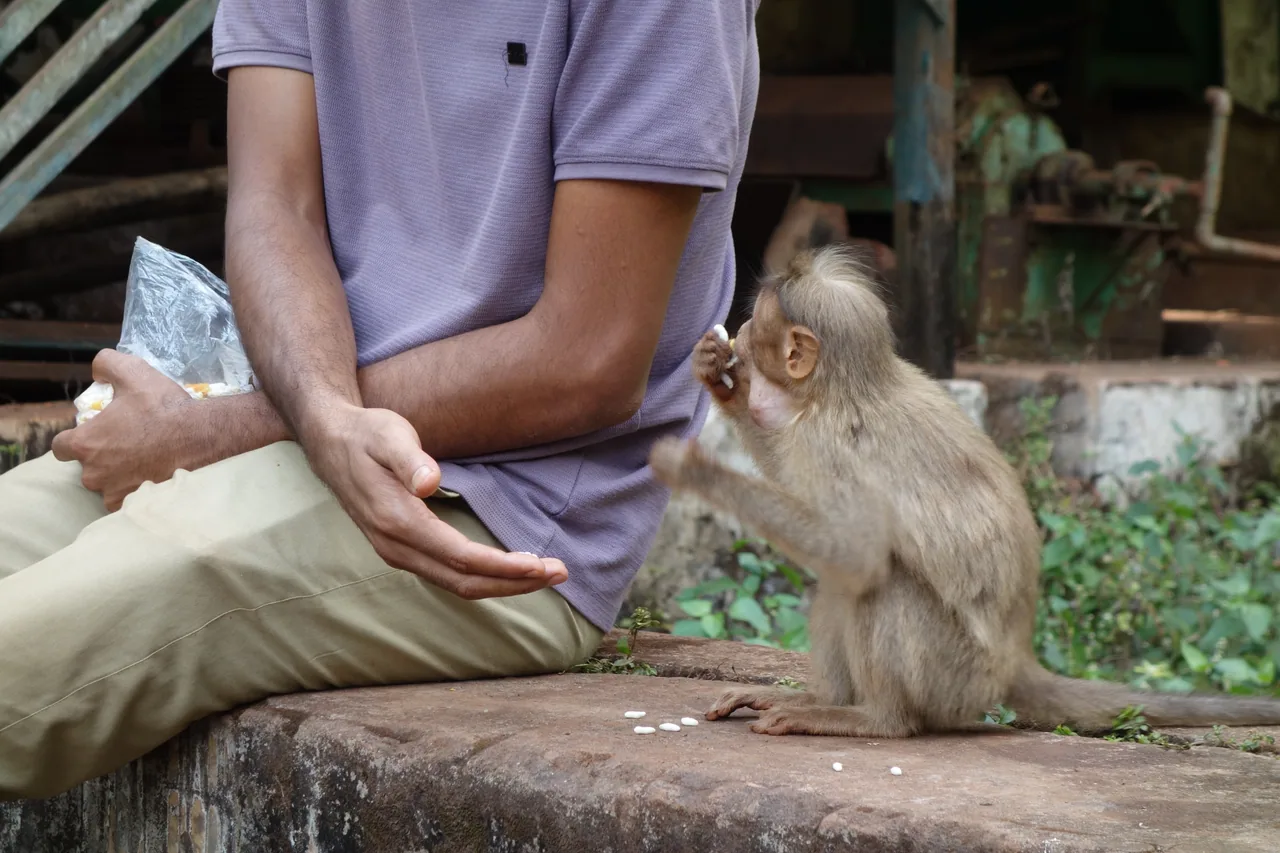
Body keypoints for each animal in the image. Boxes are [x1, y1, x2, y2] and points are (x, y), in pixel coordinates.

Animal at [647, 244, 1280, 739]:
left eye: (757, 323)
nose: (739, 333)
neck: (843, 391)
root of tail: (1013, 662)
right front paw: (722, 384)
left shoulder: (830, 448)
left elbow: (856, 552)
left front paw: (697, 471)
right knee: (844, 584)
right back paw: (822, 700)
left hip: (952, 678)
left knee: (878, 580)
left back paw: (875, 718)